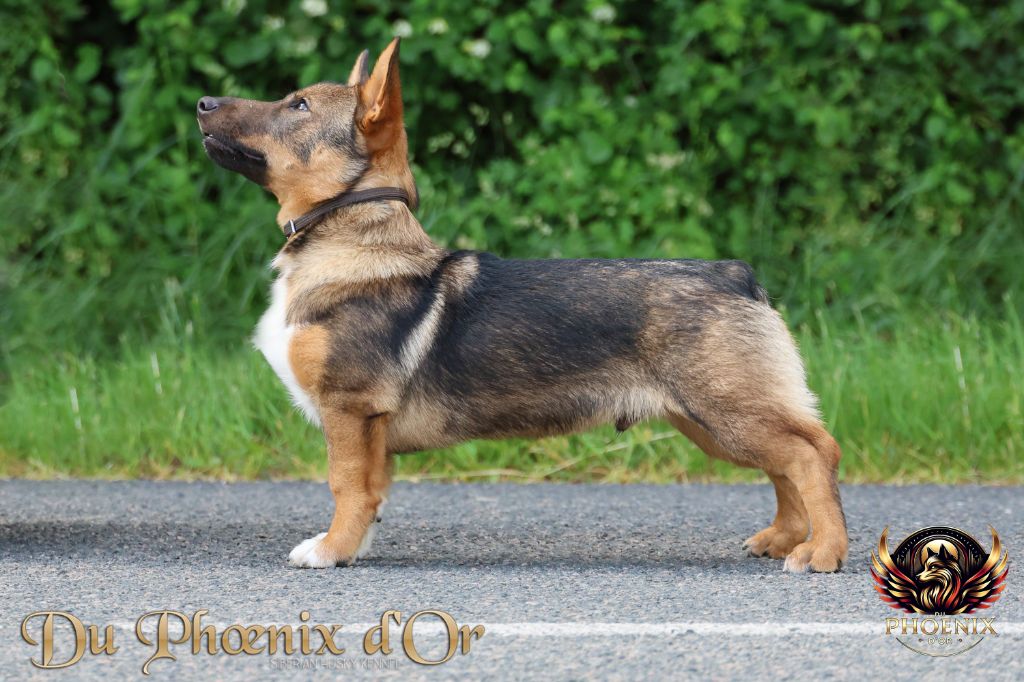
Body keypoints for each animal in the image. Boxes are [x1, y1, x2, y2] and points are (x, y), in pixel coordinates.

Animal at [196, 38, 848, 572]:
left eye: (298, 107)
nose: (202, 102)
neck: (348, 233)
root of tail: (736, 275)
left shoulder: (349, 410)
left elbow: (346, 487)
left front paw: (330, 551)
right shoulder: (369, 428)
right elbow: (372, 494)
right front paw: (353, 548)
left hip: (726, 412)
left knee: (813, 453)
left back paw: (822, 552)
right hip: (712, 423)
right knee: (787, 464)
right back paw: (782, 539)